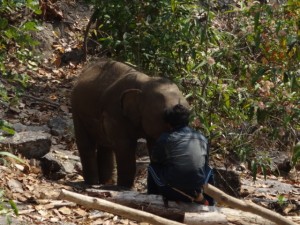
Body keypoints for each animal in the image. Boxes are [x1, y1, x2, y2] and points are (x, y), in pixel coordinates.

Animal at [71, 59, 189, 187]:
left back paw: (106, 183)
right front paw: (125, 187)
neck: (145, 83)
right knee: (86, 144)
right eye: (167, 117)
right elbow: (125, 145)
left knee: (105, 146)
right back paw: (92, 183)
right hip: (76, 110)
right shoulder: (115, 112)